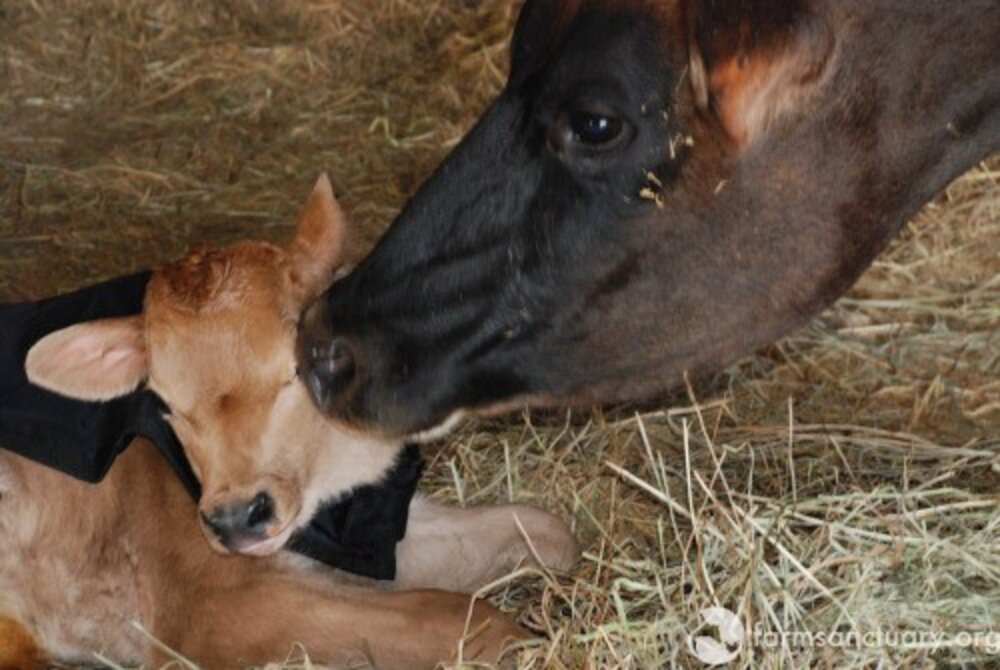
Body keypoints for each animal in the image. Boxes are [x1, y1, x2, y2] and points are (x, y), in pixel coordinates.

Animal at [0, 177, 577, 670]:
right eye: (164, 401)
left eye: (295, 369)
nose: (235, 519)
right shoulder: (206, 604)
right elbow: (453, 613)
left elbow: (545, 529)